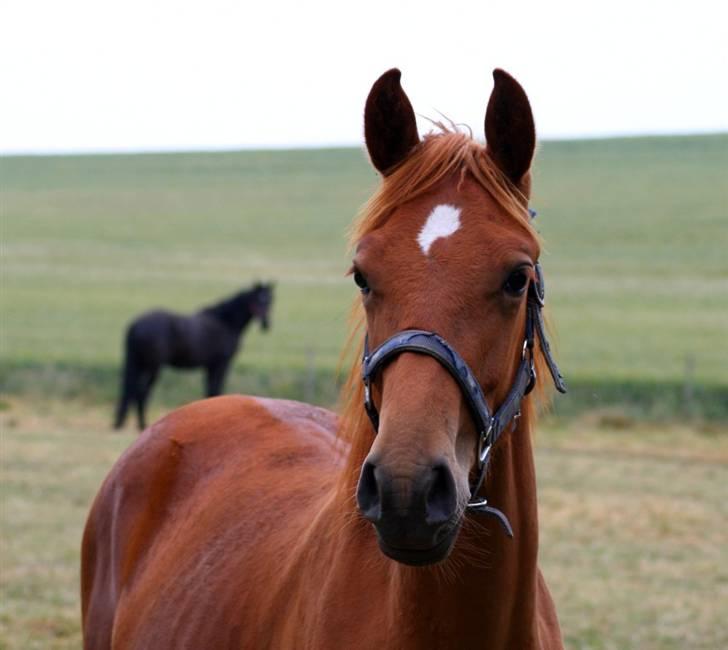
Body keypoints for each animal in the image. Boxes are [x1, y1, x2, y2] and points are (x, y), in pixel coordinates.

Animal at [114, 280, 272, 428]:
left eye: (270, 300)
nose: (266, 324)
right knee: (141, 393)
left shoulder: (210, 367)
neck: (226, 322)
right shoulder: (221, 364)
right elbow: (215, 389)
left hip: (138, 364)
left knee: (132, 392)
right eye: (258, 300)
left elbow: (210, 390)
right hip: (153, 367)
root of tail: (135, 325)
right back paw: (143, 424)